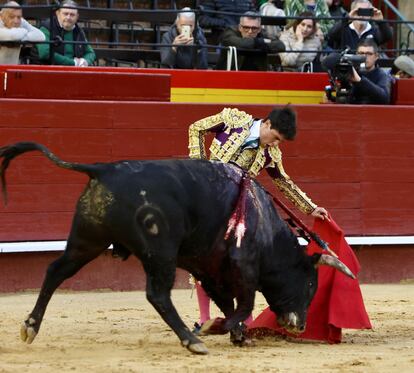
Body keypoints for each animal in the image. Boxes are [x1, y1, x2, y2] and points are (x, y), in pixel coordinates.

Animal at [0, 141, 356, 354]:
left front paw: (237, 333)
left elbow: (226, 301)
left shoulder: (209, 267)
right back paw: (192, 339)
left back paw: (30, 326)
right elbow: (243, 303)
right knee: (157, 294)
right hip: (160, 252)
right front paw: (225, 328)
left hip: (87, 240)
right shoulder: (244, 265)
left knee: (55, 271)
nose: (299, 325)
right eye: (310, 284)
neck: (265, 225)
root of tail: (103, 168)